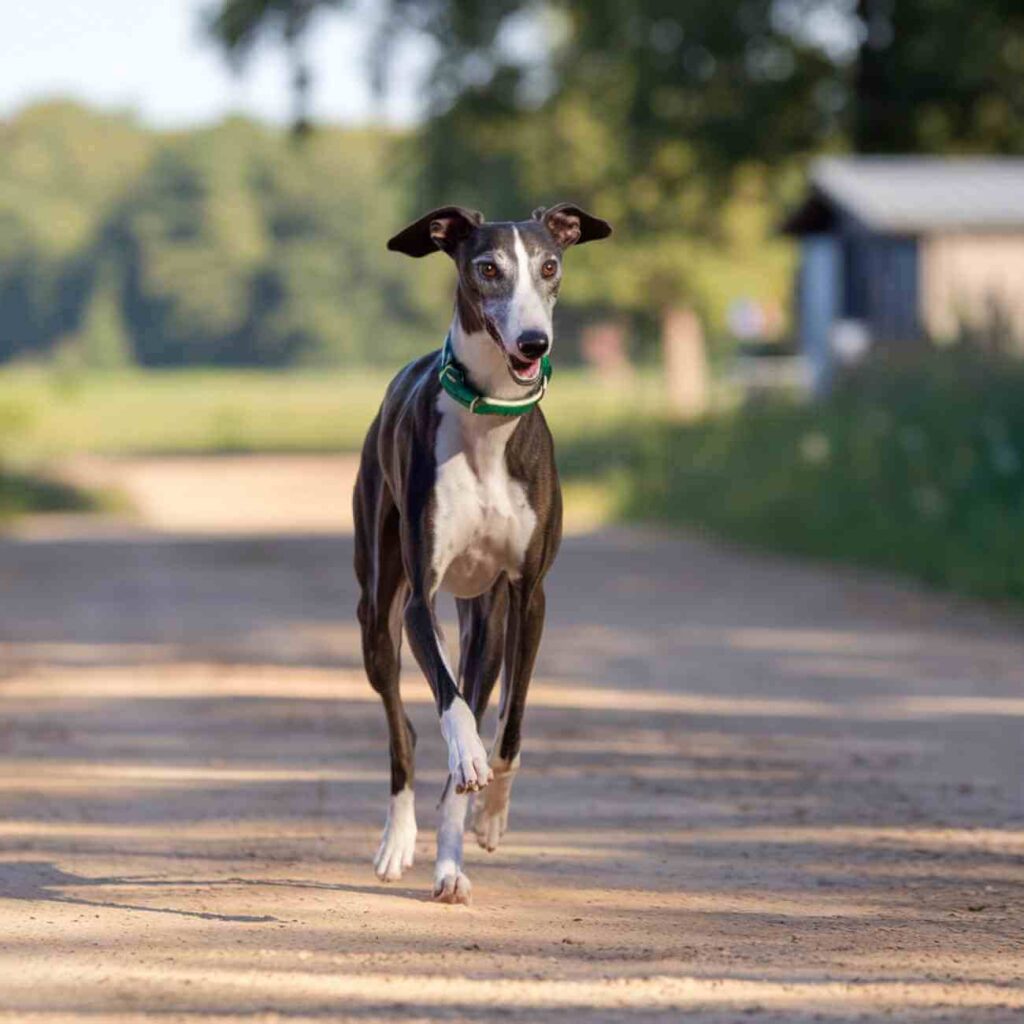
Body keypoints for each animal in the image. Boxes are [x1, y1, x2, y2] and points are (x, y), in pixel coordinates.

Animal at [354, 201, 606, 905]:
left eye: (549, 266)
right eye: (487, 268)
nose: (533, 344)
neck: (489, 423)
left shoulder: (528, 594)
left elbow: (511, 724)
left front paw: (491, 813)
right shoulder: (422, 597)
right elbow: (449, 706)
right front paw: (466, 756)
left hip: (484, 622)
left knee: (471, 704)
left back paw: (449, 866)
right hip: (377, 612)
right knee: (406, 732)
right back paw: (398, 842)